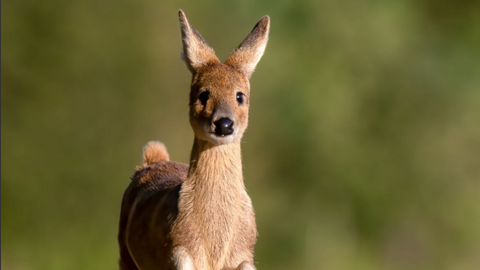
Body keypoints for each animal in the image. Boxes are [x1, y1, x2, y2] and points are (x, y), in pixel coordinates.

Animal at [117, 9, 270, 268]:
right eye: (203, 94)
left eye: (240, 96)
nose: (224, 124)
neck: (214, 248)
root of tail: (154, 159)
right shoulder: (179, 251)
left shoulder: (245, 256)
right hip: (124, 254)